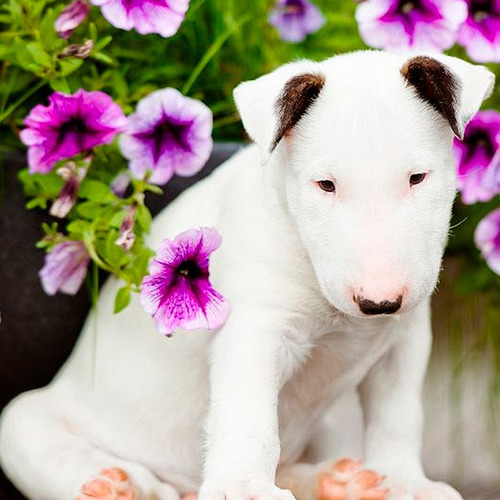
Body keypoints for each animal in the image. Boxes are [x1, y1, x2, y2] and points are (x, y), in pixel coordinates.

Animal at [0, 51, 494, 500]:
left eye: (417, 177)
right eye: (325, 185)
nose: (380, 302)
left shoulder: (404, 340)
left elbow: (398, 414)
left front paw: (406, 482)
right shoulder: (256, 329)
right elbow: (250, 417)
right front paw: (245, 490)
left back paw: (341, 482)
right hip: (24, 425)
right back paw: (115, 486)